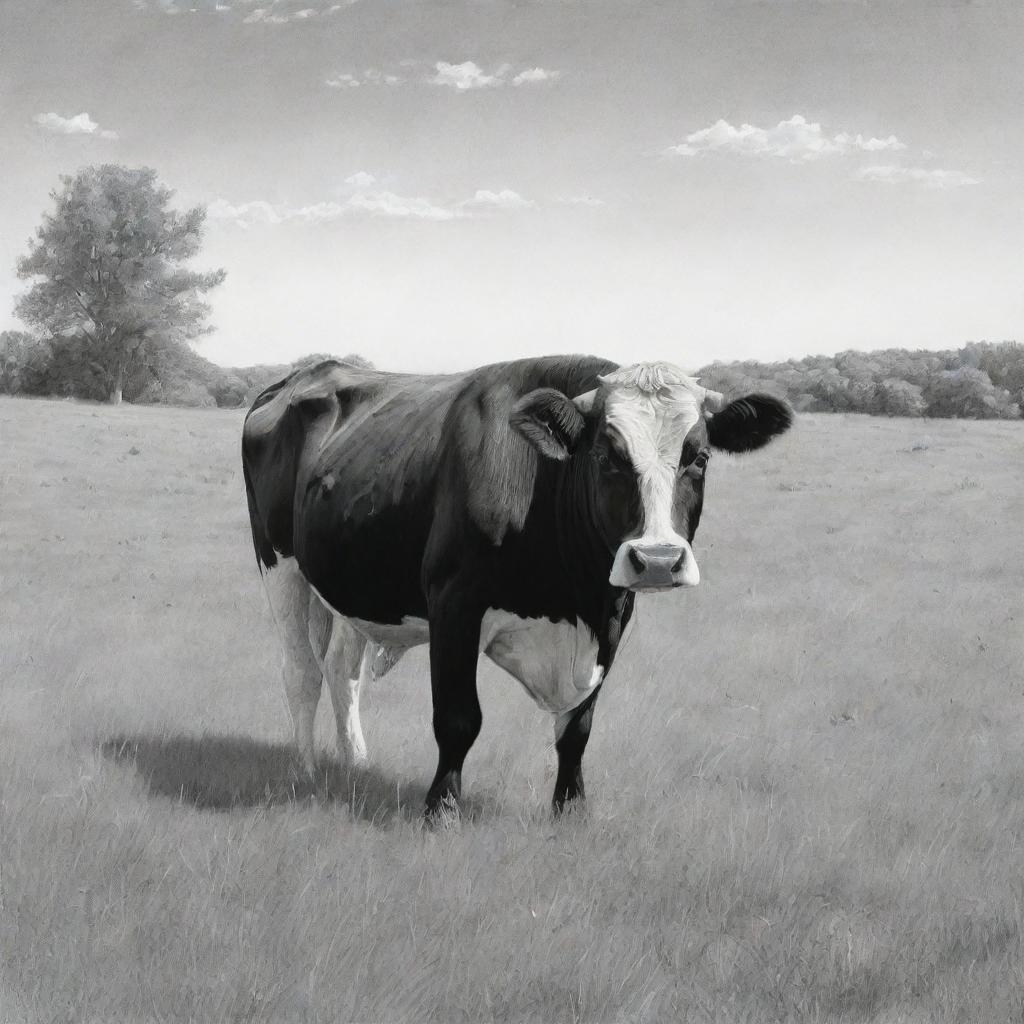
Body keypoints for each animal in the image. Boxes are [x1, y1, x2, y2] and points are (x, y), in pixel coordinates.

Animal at [241, 354, 790, 815]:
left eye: (699, 458)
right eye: (605, 457)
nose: (657, 559)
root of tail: (306, 373)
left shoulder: (611, 616)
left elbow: (576, 728)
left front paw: (569, 811)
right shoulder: (454, 606)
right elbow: (458, 718)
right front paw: (441, 810)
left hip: (353, 586)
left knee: (341, 671)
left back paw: (355, 762)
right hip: (280, 564)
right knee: (301, 671)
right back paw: (306, 772)